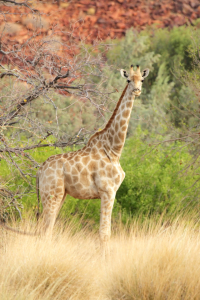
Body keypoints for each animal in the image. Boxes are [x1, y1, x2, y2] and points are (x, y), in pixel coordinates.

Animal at [37, 66, 148, 251]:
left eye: (142, 80)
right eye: (128, 80)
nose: (137, 90)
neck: (114, 149)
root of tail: (40, 170)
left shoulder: (110, 192)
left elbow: (104, 233)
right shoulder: (108, 191)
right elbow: (104, 234)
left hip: (60, 194)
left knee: (47, 229)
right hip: (51, 194)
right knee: (45, 230)